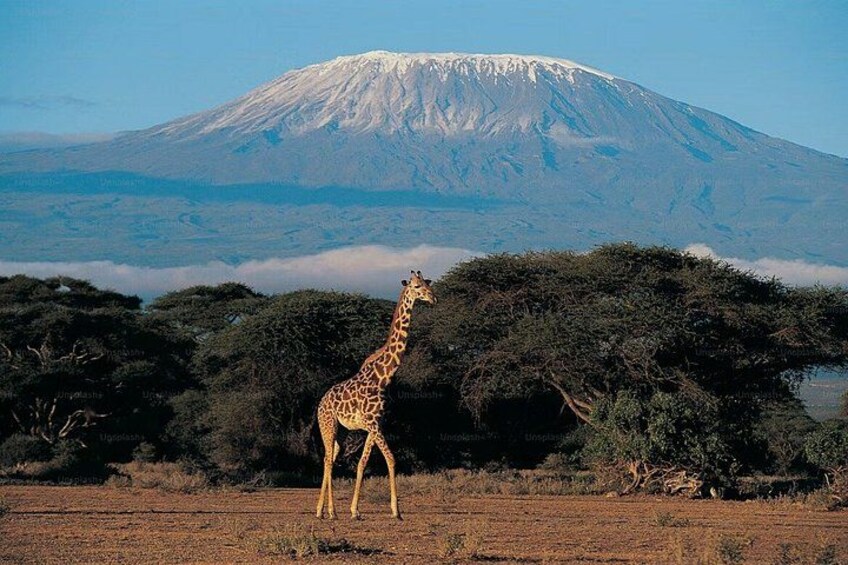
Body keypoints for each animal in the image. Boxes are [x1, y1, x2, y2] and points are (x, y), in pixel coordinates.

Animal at [315, 270, 436, 520]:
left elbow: (362, 462)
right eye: (417, 286)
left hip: (342, 431)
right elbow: (391, 458)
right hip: (327, 424)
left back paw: (322, 510)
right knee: (328, 459)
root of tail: (320, 403)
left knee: (330, 457)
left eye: (428, 283)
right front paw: (396, 511)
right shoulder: (372, 424)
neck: (384, 376)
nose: (433, 298)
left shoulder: (376, 424)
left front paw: (355, 510)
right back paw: (329, 511)